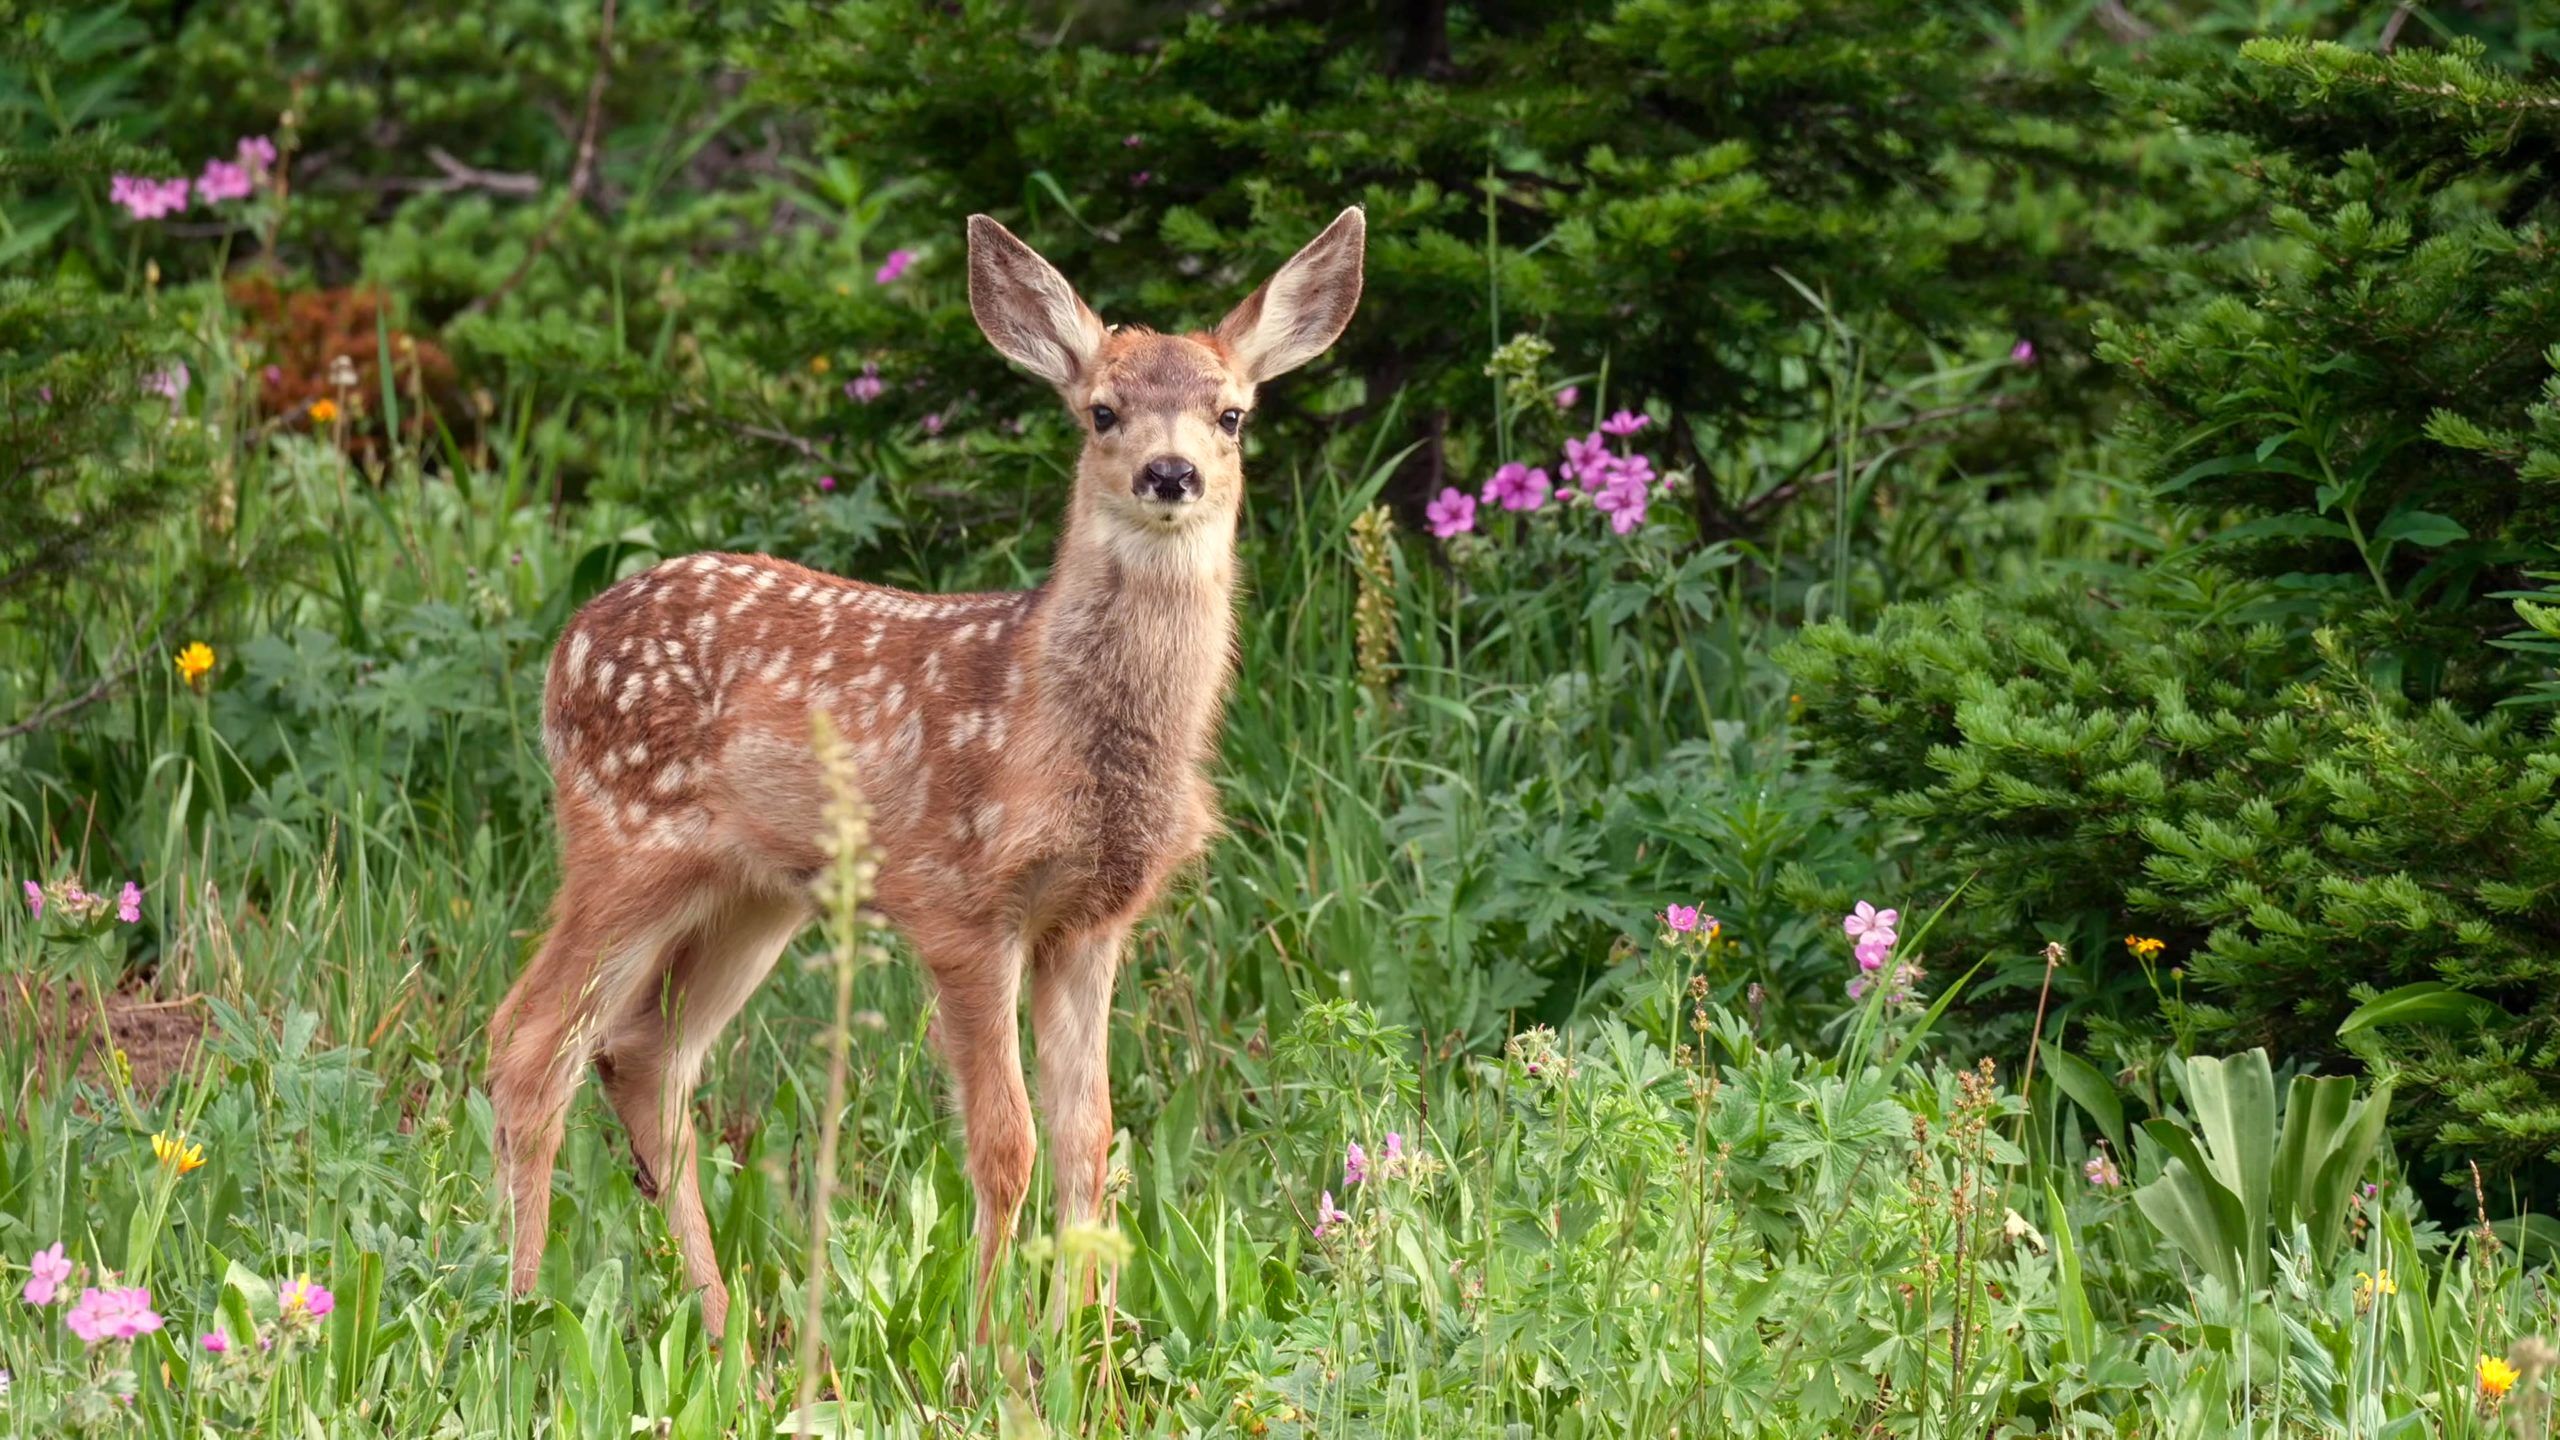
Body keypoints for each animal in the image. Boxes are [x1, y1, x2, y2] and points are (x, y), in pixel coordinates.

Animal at [486, 206, 1366, 1340]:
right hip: (623, 839)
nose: (1170, 474)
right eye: (1102, 412)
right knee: (528, 1045)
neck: (1051, 720)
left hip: (754, 892)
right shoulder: (961, 904)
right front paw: (988, 1347)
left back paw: (722, 1327)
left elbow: (1089, 1145)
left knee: (646, 1056)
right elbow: (1005, 1144)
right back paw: (521, 1315)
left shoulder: (1092, 922)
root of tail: (566, 645)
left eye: (1233, 416)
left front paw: (1086, 1346)